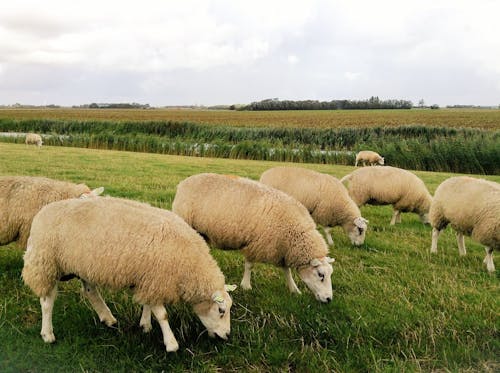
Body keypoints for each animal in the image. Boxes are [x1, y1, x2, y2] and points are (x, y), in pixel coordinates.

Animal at [21, 196, 236, 350]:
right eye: (221, 310)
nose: (227, 335)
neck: (190, 265)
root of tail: (43, 211)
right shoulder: (155, 278)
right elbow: (162, 314)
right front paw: (171, 343)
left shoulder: (148, 279)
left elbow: (148, 304)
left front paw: (145, 325)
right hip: (46, 263)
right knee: (47, 301)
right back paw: (48, 334)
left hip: (83, 265)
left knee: (90, 291)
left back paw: (107, 318)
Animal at [173, 173, 336, 304]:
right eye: (321, 275)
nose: (329, 299)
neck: (295, 232)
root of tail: (183, 183)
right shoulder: (255, 243)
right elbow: (249, 266)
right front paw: (246, 286)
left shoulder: (282, 249)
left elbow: (287, 271)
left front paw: (294, 289)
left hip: (202, 233)